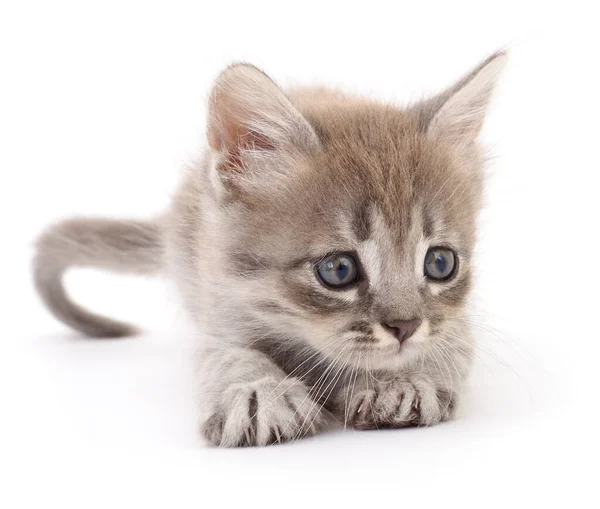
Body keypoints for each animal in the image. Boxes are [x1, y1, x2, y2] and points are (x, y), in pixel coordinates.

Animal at [32, 52, 506, 444]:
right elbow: (228, 355)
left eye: (440, 262)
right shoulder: (218, 307)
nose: (405, 326)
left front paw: (400, 380)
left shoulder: (455, 323)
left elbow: (447, 342)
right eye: (338, 270)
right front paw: (258, 391)